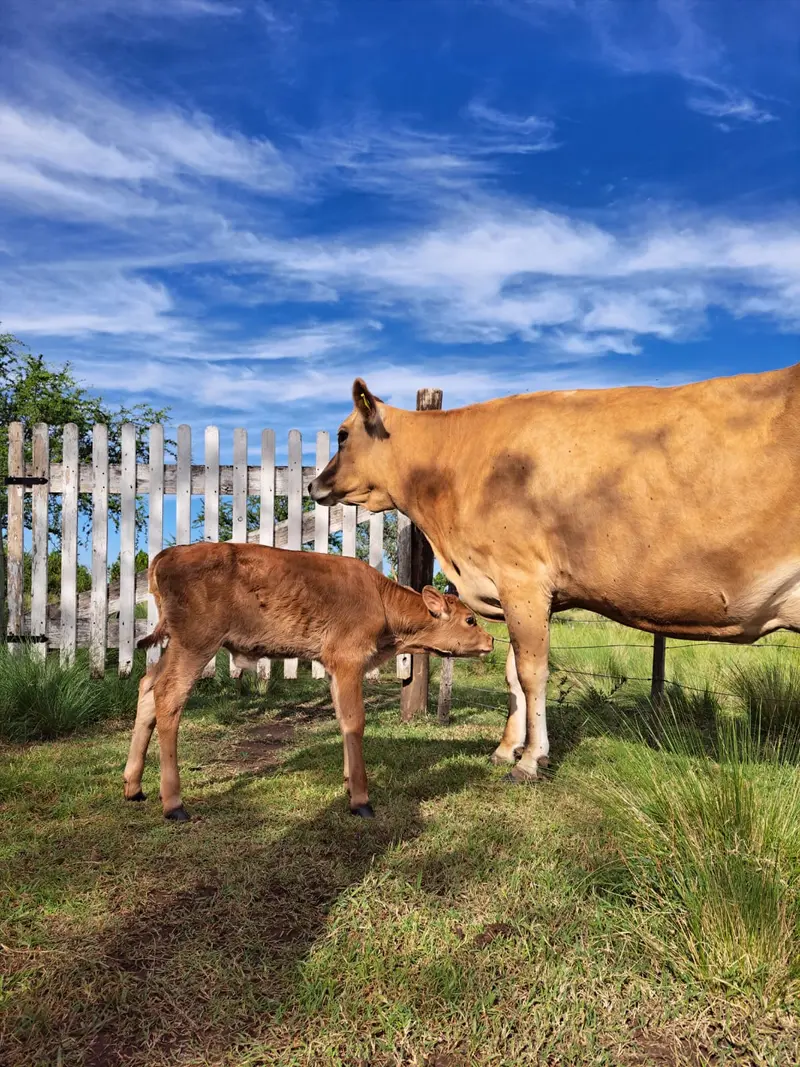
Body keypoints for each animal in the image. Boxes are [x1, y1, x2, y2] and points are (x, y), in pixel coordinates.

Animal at [123, 542, 493, 821]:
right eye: (470, 620)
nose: (491, 639)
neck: (383, 604)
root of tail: (168, 554)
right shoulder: (348, 659)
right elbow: (355, 722)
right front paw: (361, 799)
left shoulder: (333, 666)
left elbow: (342, 719)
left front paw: (348, 783)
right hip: (196, 643)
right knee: (169, 695)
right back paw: (174, 803)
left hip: (176, 644)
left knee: (147, 685)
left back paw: (133, 786)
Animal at [308, 367, 800, 782]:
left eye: (342, 435)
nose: (314, 485)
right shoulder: (516, 591)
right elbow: (511, 674)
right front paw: (506, 748)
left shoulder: (522, 579)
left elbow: (532, 673)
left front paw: (530, 760)